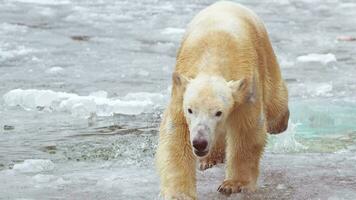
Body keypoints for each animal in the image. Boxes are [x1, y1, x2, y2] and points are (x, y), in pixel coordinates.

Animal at [154, 1, 288, 198]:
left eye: (219, 112)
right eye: (190, 110)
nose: (199, 142)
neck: (213, 58)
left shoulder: (245, 92)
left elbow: (246, 131)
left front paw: (233, 185)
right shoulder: (180, 96)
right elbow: (177, 135)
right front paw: (179, 193)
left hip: (265, 51)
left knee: (275, 105)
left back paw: (279, 124)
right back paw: (209, 160)